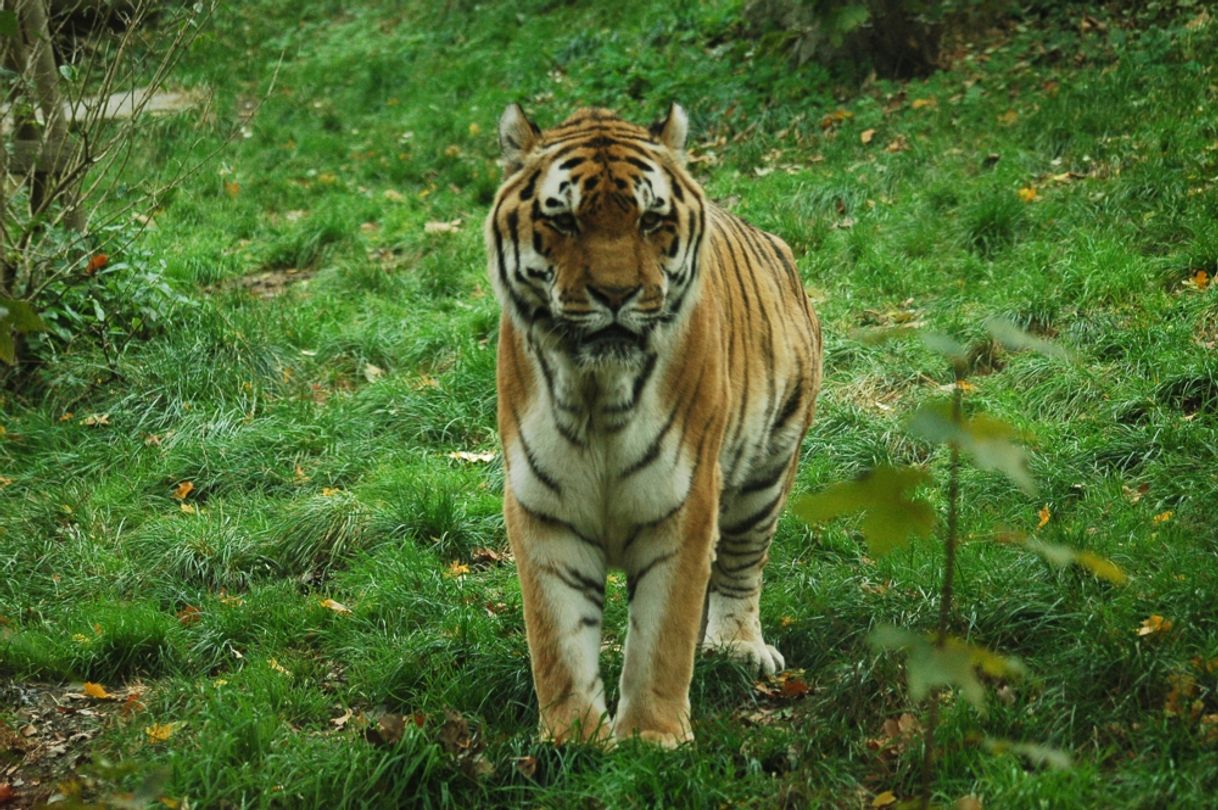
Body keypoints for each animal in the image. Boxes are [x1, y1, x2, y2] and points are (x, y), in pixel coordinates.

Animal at [482, 102, 818, 745]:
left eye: (649, 220)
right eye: (563, 222)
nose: (616, 294)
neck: (596, 392)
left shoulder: (683, 502)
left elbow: (663, 638)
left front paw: (651, 739)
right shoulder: (543, 509)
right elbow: (557, 639)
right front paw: (571, 739)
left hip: (768, 472)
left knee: (741, 565)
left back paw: (738, 647)